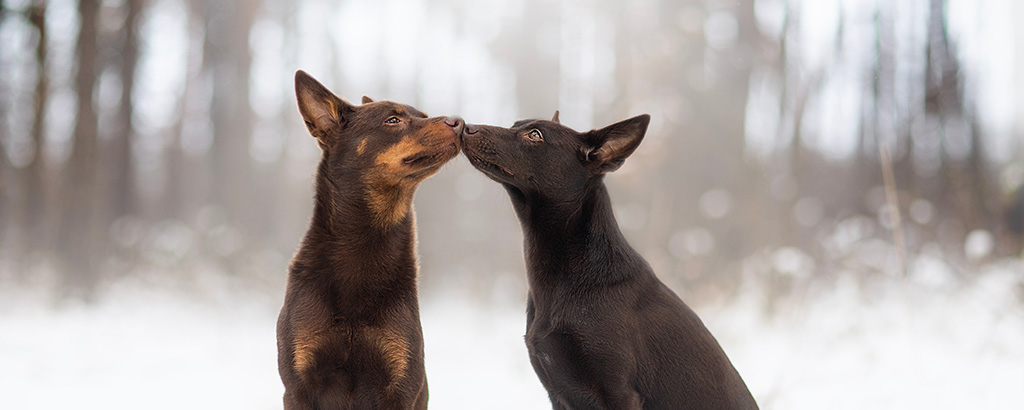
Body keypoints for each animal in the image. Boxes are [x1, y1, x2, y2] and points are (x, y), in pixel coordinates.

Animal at [276, 71, 460, 410]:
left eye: (423, 115)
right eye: (392, 120)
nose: (460, 122)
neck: (365, 241)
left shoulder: (400, 384)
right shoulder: (298, 386)